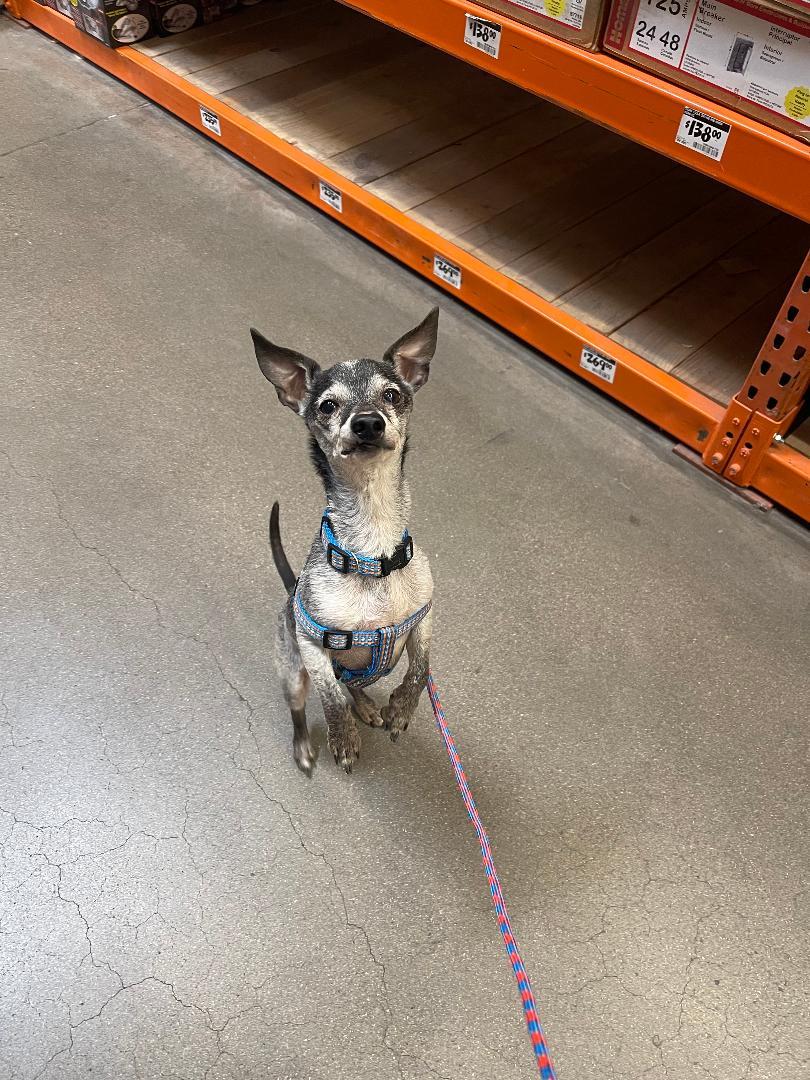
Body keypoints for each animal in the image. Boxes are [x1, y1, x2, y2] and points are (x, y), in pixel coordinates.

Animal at [253, 308, 440, 773]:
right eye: (328, 405)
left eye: (392, 395)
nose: (368, 421)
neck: (373, 552)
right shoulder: (312, 646)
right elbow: (331, 697)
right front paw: (344, 738)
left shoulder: (423, 619)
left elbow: (420, 671)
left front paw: (400, 711)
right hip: (292, 672)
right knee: (306, 706)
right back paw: (307, 746)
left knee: (354, 683)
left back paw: (368, 705)